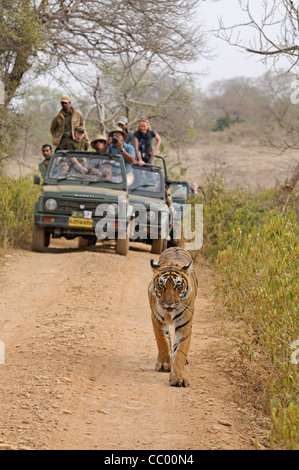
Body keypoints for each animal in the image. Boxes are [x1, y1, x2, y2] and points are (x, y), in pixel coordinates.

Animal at [148, 246, 199, 386]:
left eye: (178, 286)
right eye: (161, 286)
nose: (169, 303)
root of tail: (177, 247)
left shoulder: (184, 325)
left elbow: (181, 351)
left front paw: (179, 378)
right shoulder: (157, 319)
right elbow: (163, 341)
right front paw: (164, 364)